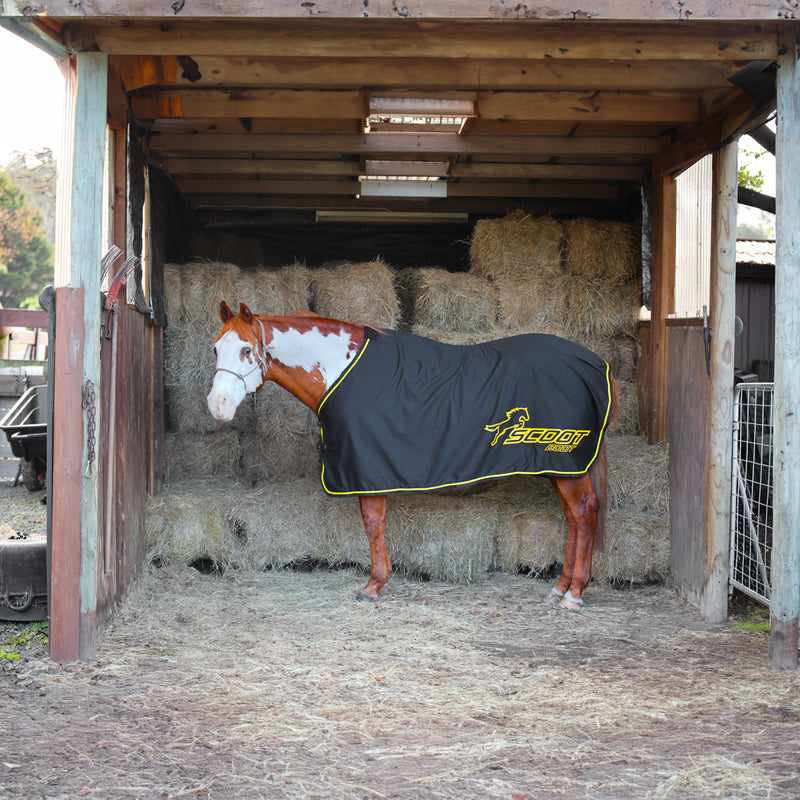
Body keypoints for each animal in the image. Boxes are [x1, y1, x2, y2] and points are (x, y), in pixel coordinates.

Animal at [208, 304, 620, 608]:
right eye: (215, 349)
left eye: (246, 350)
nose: (217, 405)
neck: (340, 367)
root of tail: (596, 365)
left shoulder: (367, 470)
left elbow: (373, 524)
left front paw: (373, 585)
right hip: (562, 467)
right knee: (575, 517)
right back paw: (559, 588)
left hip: (566, 464)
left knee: (583, 514)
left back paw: (574, 594)